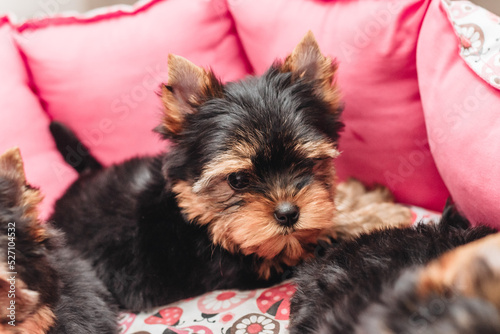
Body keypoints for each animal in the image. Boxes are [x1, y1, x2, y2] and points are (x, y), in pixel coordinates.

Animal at [49, 32, 410, 312]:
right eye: (237, 180)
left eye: (307, 163)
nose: (288, 213)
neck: (196, 215)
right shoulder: (258, 262)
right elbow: (321, 235)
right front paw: (376, 215)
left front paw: (361, 197)